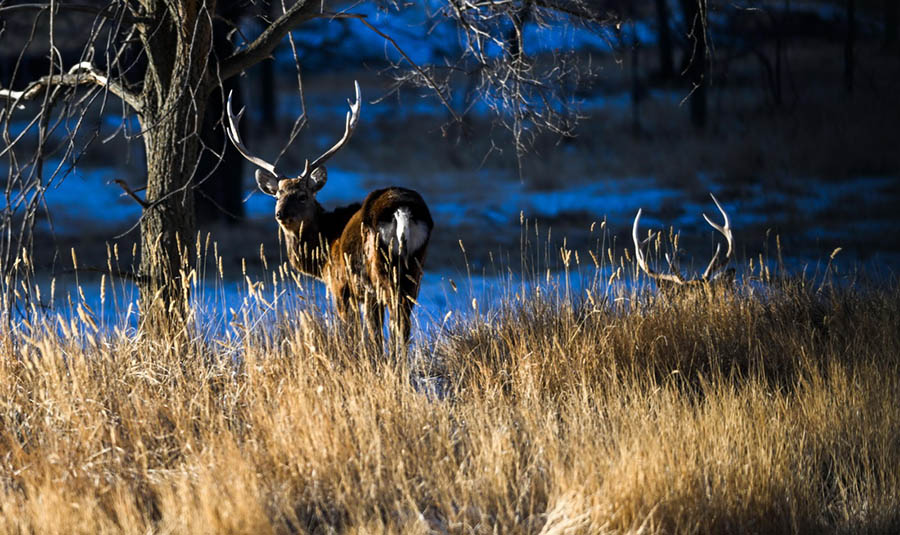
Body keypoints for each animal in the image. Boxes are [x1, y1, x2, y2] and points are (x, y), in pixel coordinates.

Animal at [227, 81, 434, 354]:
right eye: (277, 195)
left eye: (303, 196)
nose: (279, 214)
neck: (324, 248)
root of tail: (402, 210)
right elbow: (372, 335)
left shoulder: (341, 285)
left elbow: (356, 334)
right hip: (414, 269)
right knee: (405, 323)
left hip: (381, 271)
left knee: (398, 323)